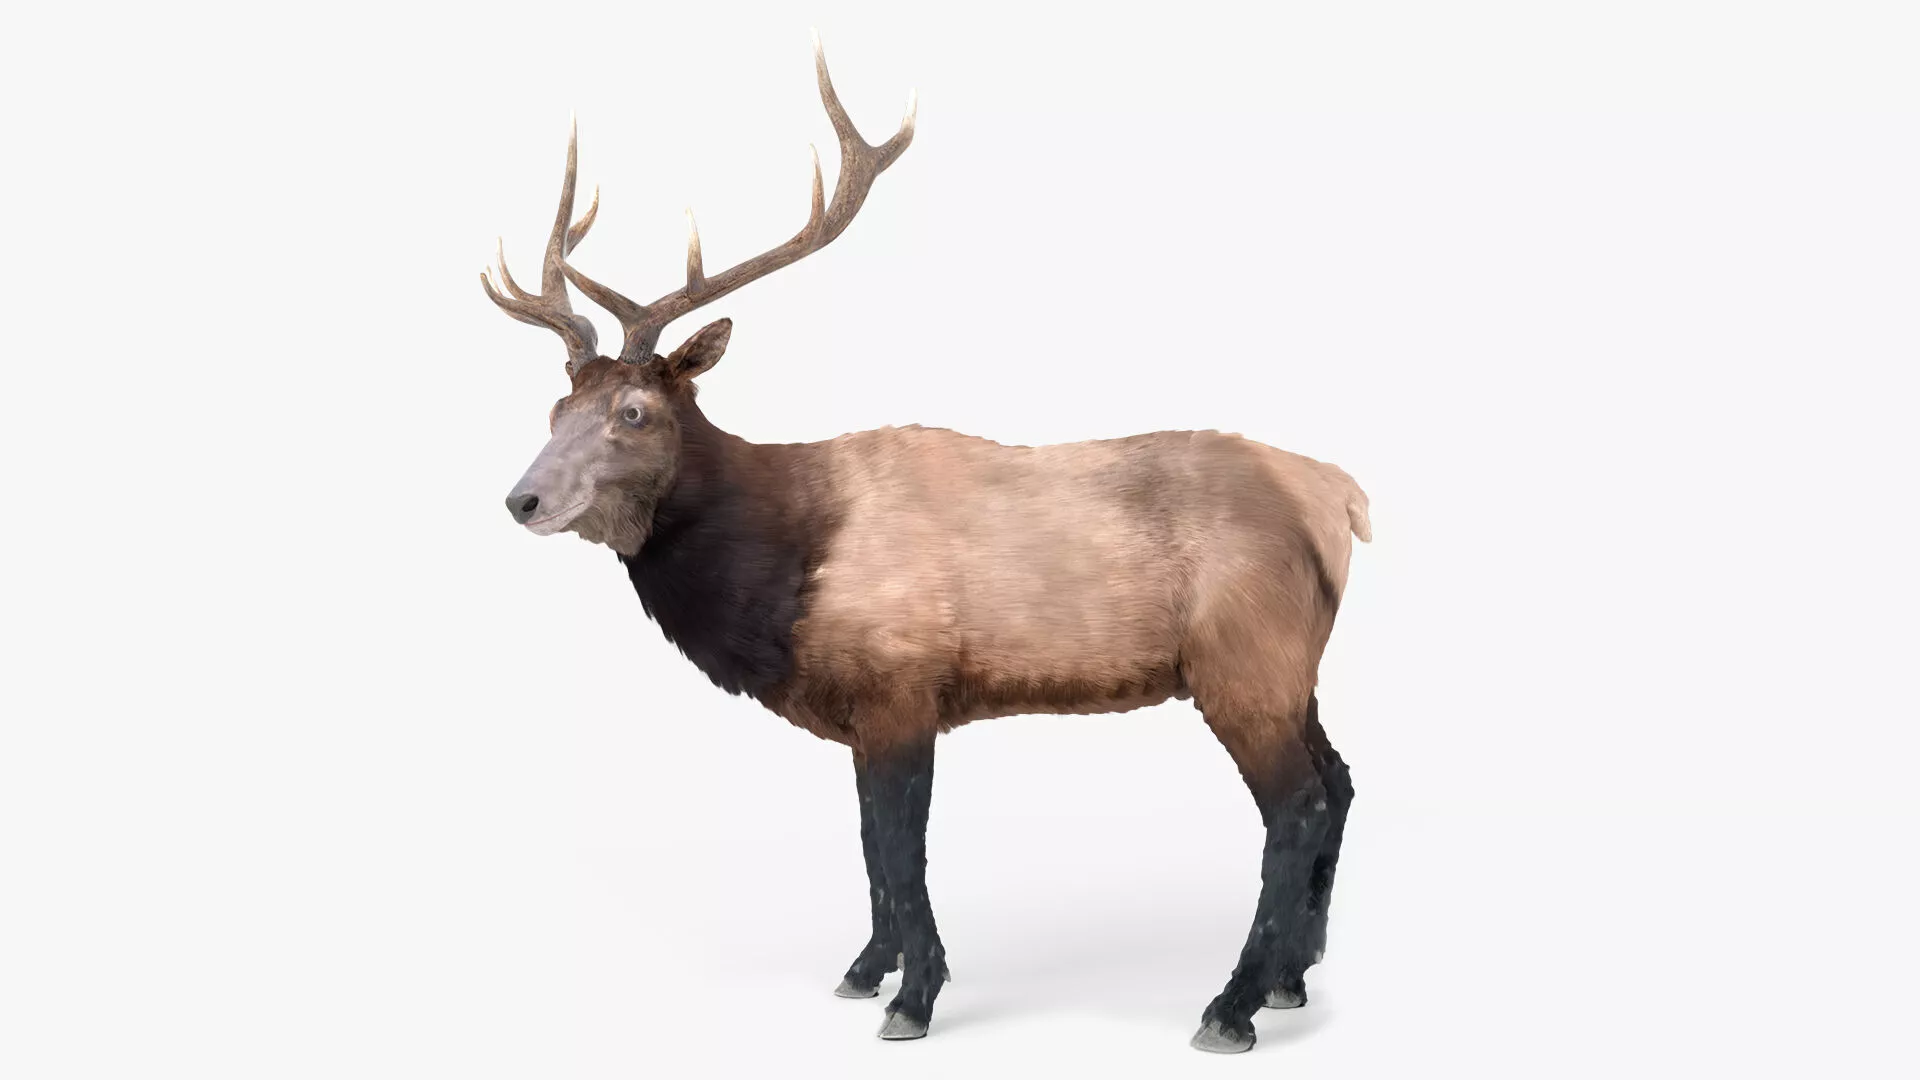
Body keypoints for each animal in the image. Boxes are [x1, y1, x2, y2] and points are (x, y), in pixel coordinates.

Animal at [481, 35, 1371, 1054]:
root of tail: (1341, 498)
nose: (522, 499)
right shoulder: (858, 712)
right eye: (555, 409)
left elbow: (900, 850)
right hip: (1294, 665)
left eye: (633, 411)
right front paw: (867, 969)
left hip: (1242, 658)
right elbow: (872, 848)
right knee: (1341, 780)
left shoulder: (901, 687)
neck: (779, 579)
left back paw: (1232, 1004)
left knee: (1297, 806)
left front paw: (914, 996)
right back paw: (1294, 979)